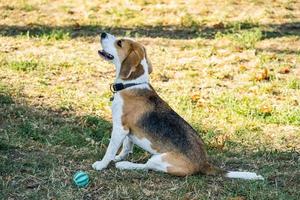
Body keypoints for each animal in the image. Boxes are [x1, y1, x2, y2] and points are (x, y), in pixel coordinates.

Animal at [92, 32, 262, 180]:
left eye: (119, 43)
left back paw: (126, 165)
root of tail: (204, 163)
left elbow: (110, 150)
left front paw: (102, 164)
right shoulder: (129, 131)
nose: (103, 33)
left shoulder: (120, 128)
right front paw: (119, 156)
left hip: (160, 159)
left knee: (147, 166)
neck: (132, 84)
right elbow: (127, 146)